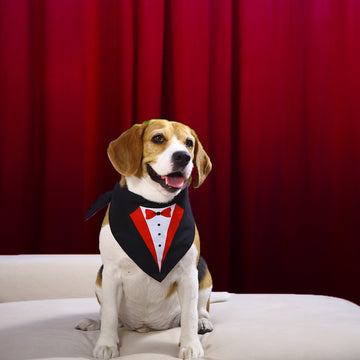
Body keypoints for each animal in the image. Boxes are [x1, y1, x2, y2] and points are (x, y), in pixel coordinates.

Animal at [75, 119, 211, 358]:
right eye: (158, 138)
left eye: (189, 143)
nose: (183, 156)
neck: (154, 205)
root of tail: (147, 326)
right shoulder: (111, 273)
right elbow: (109, 314)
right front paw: (107, 344)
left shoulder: (188, 273)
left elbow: (189, 315)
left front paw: (191, 345)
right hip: (99, 278)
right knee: (108, 314)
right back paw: (94, 323)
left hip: (203, 272)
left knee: (200, 309)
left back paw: (202, 322)